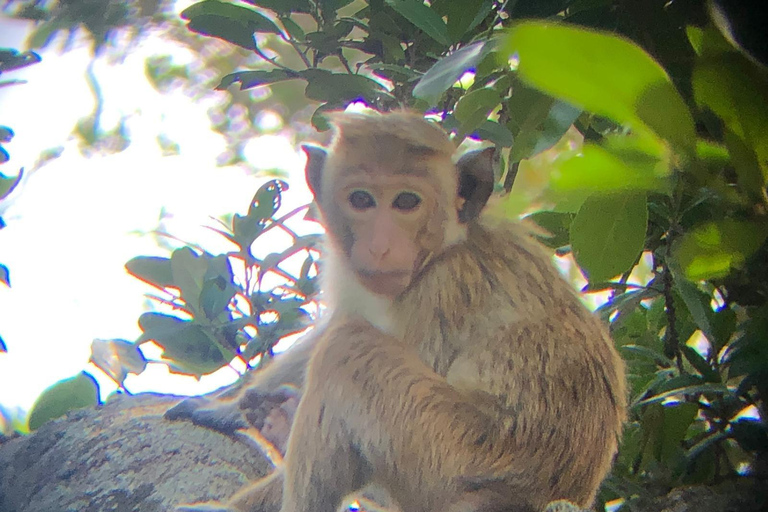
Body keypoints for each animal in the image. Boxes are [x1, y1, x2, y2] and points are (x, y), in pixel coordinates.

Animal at [172, 110, 624, 512]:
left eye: (407, 201)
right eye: (361, 200)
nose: (379, 247)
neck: (447, 246)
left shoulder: (443, 289)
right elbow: (337, 321)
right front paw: (224, 408)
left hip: (460, 455)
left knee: (348, 350)